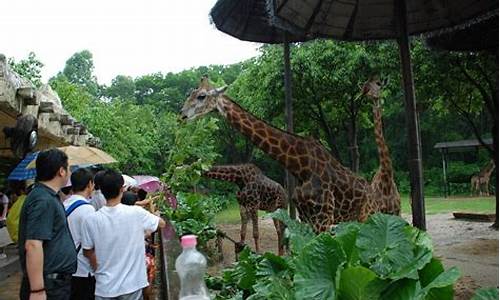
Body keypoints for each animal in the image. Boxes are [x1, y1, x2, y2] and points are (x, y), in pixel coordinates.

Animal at [180, 77, 378, 232]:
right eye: (189, 94)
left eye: (201, 96)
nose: (182, 115)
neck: (300, 166)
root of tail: (373, 193)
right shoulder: (305, 216)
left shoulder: (323, 216)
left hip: (367, 216)